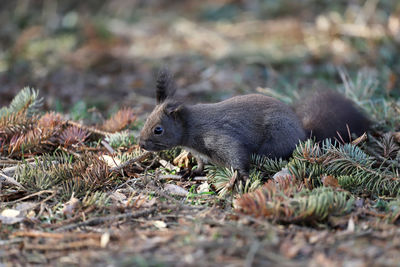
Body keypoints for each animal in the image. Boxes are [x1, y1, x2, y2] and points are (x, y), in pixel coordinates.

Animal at [139, 69, 370, 179]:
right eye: (146, 120)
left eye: (158, 130)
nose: (141, 144)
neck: (190, 127)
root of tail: (303, 132)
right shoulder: (199, 153)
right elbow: (201, 163)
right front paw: (191, 172)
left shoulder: (219, 138)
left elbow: (236, 155)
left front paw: (242, 177)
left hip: (276, 139)